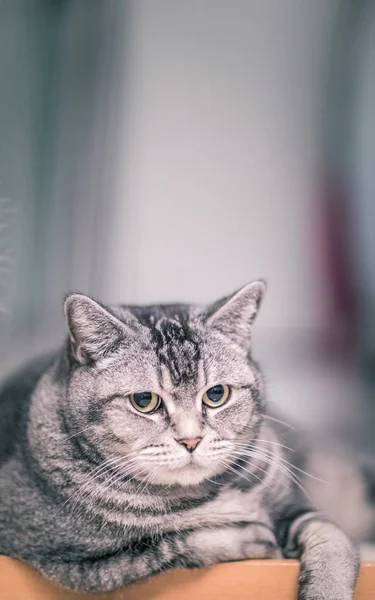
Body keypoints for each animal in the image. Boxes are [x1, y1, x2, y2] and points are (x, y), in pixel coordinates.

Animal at [0, 282, 370, 600]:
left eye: (217, 394)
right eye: (144, 401)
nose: (191, 440)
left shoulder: (295, 505)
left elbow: (332, 538)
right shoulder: (76, 564)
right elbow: (171, 542)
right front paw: (256, 538)